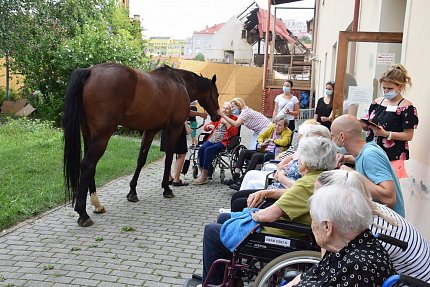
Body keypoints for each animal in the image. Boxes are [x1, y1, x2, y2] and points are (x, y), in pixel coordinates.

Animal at [62, 63, 220, 227]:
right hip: (102, 136)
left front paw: (132, 192)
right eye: (216, 94)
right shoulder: (174, 128)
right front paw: (167, 188)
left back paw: (97, 204)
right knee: (88, 165)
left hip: (88, 133)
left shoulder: (150, 130)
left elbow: (141, 159)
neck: (179, 82)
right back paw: (83, 213)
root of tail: (90, 71)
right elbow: (169, 159)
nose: (217, 116)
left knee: (90, 167)